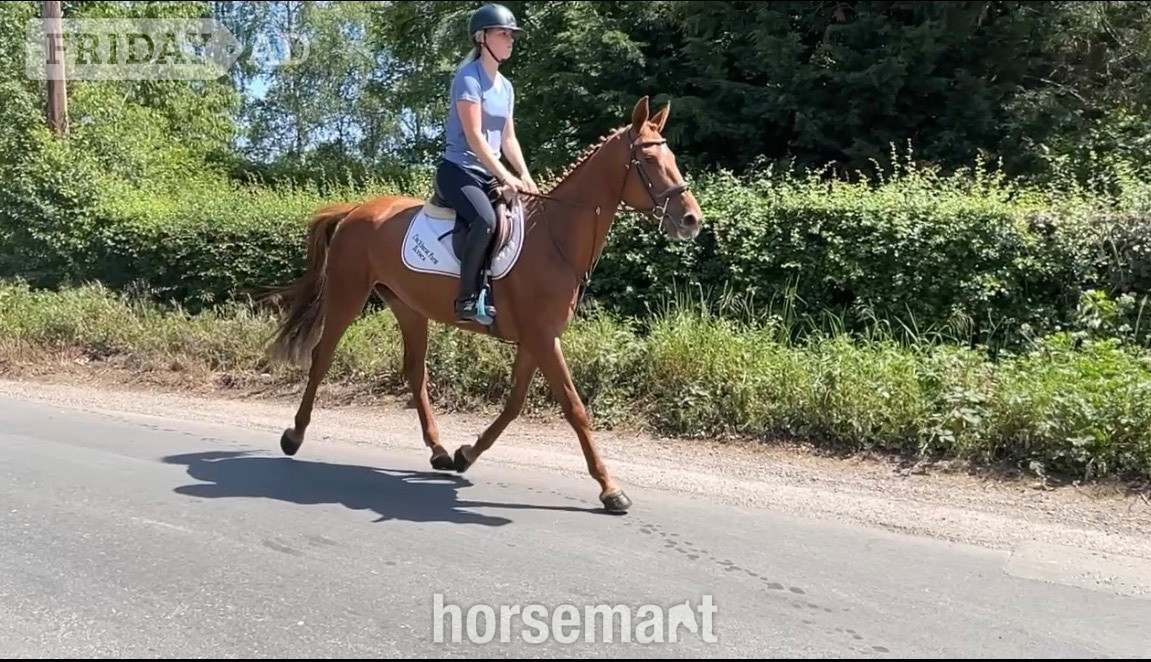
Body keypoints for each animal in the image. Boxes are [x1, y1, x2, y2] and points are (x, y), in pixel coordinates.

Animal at [262, 95, 703, 513]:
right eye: (649, 160)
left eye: (673, 159)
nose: (691, 220)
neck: (555, 238)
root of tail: (356, 209)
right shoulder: (543, 339)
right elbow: (575, 408)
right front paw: (611, 490)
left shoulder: (536, 340)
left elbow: (513, 404)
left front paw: (465, 455)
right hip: (347, 295)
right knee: (322, 357)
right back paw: (294, 435)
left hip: (408, 307)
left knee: (415, 373)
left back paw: (440, 451)